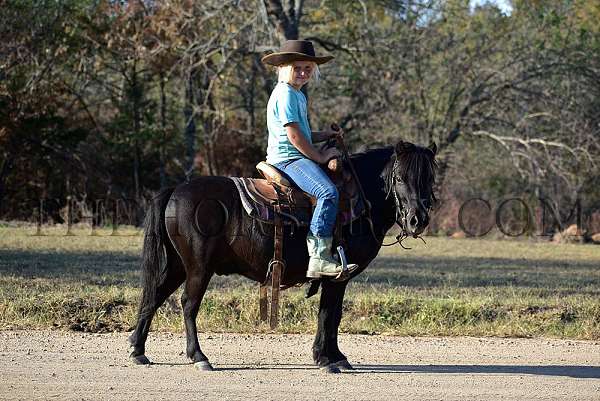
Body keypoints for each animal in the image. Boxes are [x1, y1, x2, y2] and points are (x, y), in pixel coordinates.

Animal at [129, 140, 436, 372]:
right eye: (399, 178)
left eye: (429, 179)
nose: (417, 220)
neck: (358, 202)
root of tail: (176, 190)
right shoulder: (337, 277)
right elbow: (329, 314)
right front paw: (326, 358)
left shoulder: (338, 278)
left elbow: (332, 314)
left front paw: (335, 357)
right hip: (198, 268)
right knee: (188, 304)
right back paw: (199, 357)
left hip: (179, 265)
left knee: (154, 296)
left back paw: (138, 350)